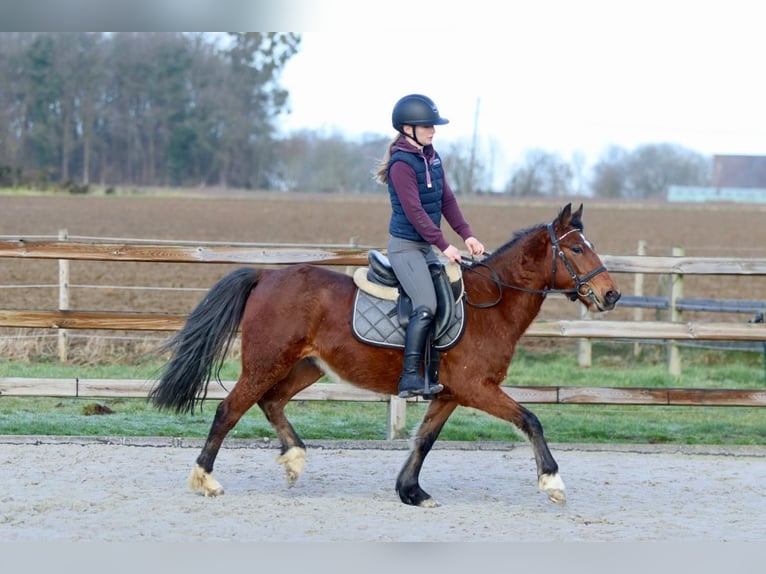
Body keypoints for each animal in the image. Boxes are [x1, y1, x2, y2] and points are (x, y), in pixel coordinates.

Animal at [149, 203, 621, 507]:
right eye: (576, 248)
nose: (611, 295)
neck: (493, 302)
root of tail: (267, 275)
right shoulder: (477, 388)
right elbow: (531, 420)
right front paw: (552, 481)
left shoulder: (450, 393)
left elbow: (425, 439)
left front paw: (411, 491)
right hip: (266, 363)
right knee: (229, 410)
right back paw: (206, 480)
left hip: (305, 366)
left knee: (271, 402)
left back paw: (294, 460)